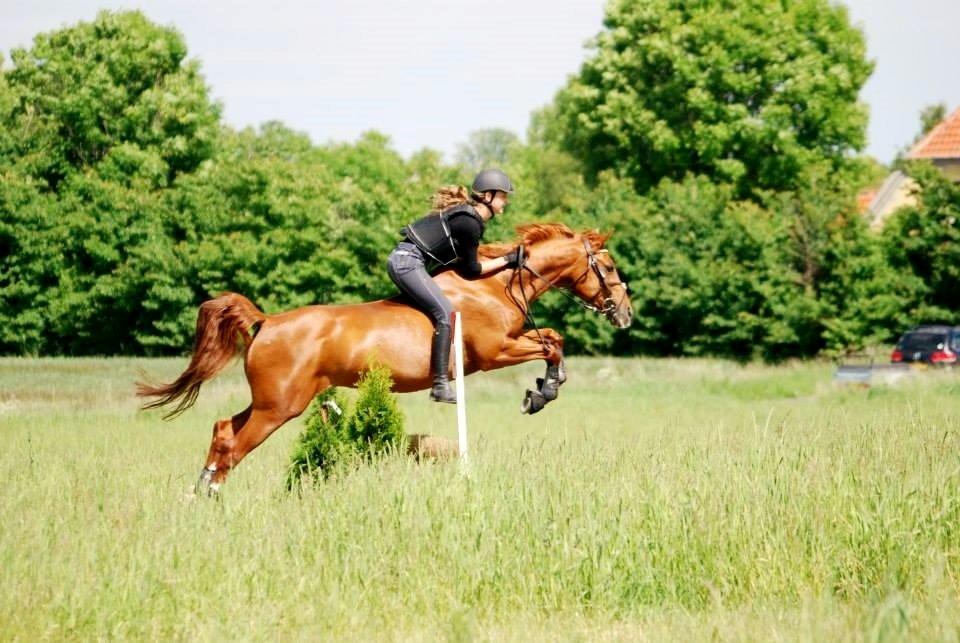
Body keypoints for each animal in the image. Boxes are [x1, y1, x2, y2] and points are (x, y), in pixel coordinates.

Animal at [135, 224, 632, 490]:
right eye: (607, 268)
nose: (625, 313)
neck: (494, 285)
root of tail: (268, 320)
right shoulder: (495, 351)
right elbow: (552, 342)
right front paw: (542, 392)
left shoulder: (508, 343)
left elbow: (552, 338)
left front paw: (544, 388)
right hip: (279, 407)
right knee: (235, 445)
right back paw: (213, 494)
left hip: (274, 402)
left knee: (223, 430)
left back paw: (199, 491)